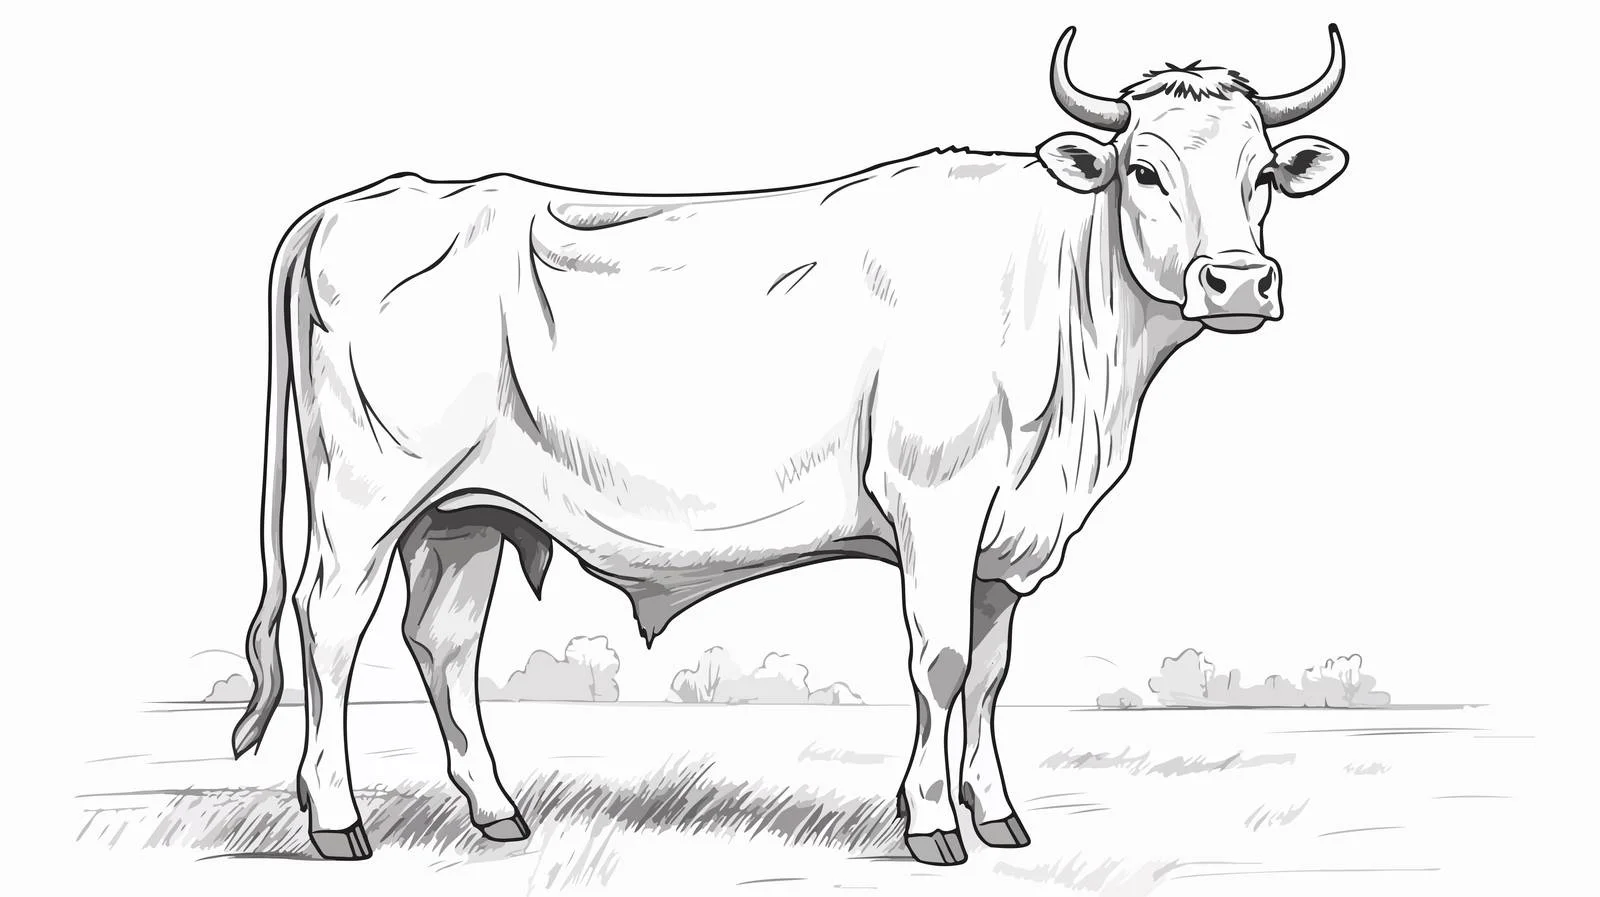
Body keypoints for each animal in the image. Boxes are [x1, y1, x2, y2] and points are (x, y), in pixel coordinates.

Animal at [231, 24, 1349, 865]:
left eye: (1262, 175)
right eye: (1145, 170)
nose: (1238, 281)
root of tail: (364, 201)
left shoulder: (1008, 537)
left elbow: (991, 671)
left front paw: (998, 815)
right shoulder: (936, 501)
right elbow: (939, 659)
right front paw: (931, 823)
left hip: (462, 516)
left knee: (444, 642)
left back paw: (497, 813)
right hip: (367, 498)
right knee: (329, 627)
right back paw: (337, 820)